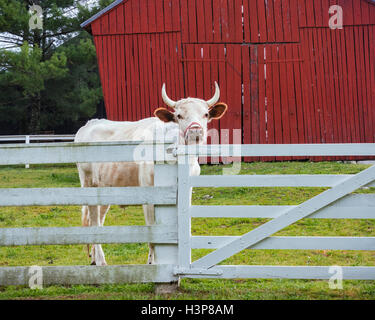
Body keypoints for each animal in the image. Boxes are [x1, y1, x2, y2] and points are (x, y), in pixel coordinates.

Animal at [75, 82, 228, 264]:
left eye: (205, 114)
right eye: (179, 116)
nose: (195, 132)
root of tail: (89, 124)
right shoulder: (149, 195)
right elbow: (154, 235)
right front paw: (153, 264)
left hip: (105, 189)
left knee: (99, 220)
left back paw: (94, 258)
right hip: (88, 184)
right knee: (94, 221)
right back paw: (100, 261)